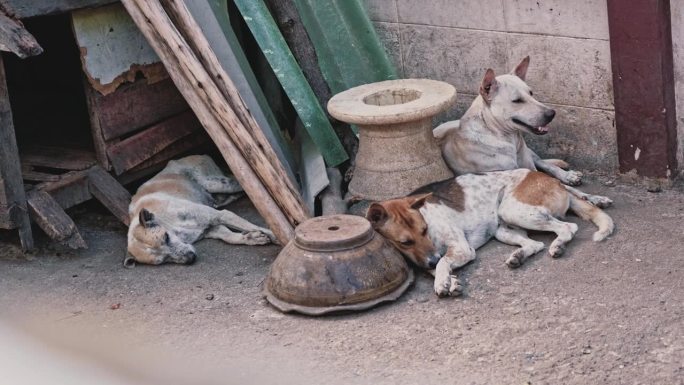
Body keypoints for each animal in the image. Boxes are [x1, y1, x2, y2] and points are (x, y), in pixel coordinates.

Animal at [124, 154, 274, 266]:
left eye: (165, 238)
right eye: (163, 260)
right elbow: (230, 237)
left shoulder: (220, 215)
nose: (190, 258)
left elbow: (253, 226)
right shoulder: (213, 229)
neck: (171, 225)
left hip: (217, 183)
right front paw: (251, 238)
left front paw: (274, 235)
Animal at [368, 169, 616, 296]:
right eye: (405, 242)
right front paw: (450, 281)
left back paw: (558, 246)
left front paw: (442, 282)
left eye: (424, 230)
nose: (432, 258)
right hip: (502, 228)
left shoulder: (461, 249)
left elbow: (441, 263)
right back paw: (518, 257)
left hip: (514, 211)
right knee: (534, 244)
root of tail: (555, 182)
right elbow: (434, 267)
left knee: (567, 227)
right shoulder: (426, 258)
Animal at [436, 55, 612, 208]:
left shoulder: (530, 168)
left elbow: (569, 188)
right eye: (517, 100)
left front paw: (594, 197)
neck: (505, 137)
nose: (551, 114)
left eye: (531, 93)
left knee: (542, 162)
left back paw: (568, 175)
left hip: (530, 154)